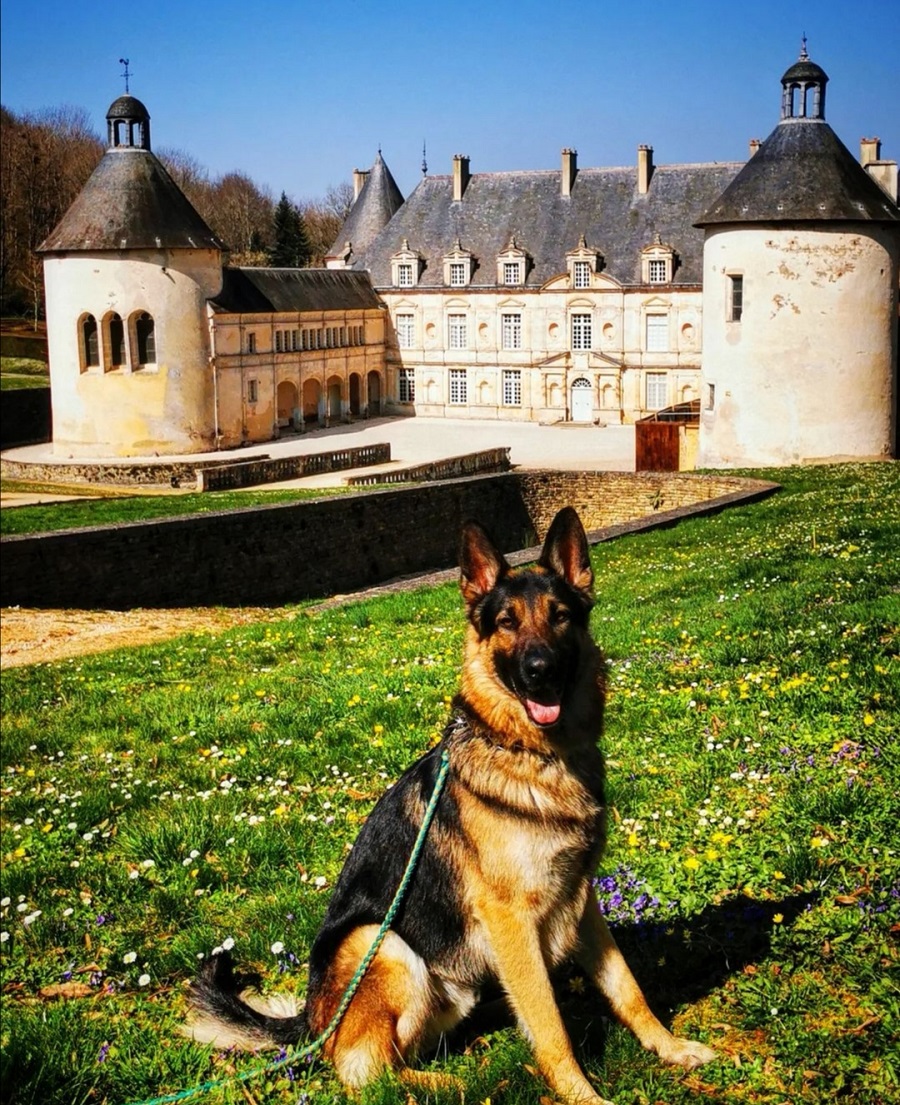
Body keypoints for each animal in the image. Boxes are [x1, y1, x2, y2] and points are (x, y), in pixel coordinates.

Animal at [186, 508, 716, 1105]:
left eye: (560, 617)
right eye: (506, 622)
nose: (540, 670)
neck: (529, 753)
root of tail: (312, 1020)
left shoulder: (581, 900)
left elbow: (627, 987)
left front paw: (670, 1047)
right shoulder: (512, 920)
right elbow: (551, 1024)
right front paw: (582, 1095)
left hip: (448, 984)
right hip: (384, 944)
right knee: (363, 1069)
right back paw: (447, 1080)